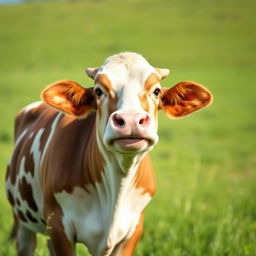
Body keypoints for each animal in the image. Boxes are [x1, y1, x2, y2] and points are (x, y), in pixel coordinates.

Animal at [6, 51, 213, 255]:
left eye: (156, 91)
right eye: (99, 91)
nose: (131, 120)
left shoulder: (134, 229)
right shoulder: (58, 226)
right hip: (21, 219)